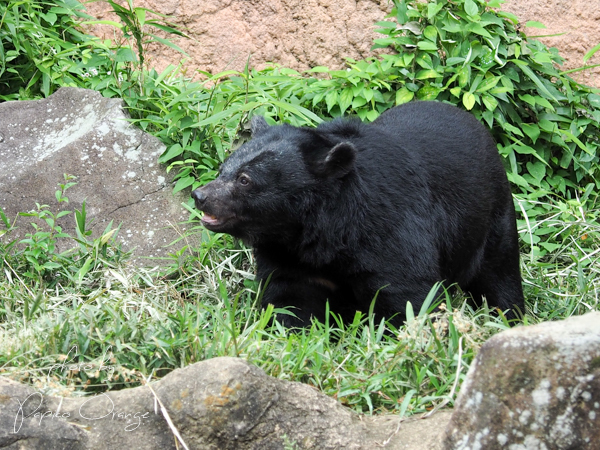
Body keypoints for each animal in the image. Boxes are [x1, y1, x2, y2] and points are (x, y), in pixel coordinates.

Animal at [193, 102, 524, 326]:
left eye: (245, 180)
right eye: (224, 169)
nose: (201, 197)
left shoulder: (390, 227)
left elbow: (406, 295)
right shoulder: (287, 255)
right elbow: (289, 297)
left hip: (491, 216)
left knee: (499, 273)